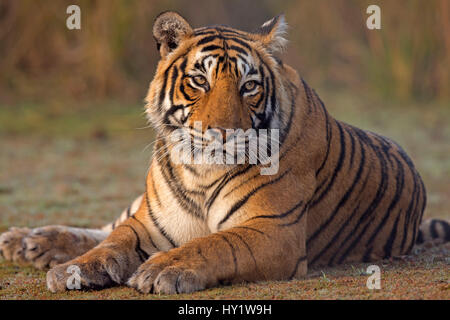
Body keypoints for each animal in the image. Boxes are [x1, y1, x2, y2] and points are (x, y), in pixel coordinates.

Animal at [0, 11, 446, 294]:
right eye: (200, 80)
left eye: (249, 87)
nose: (223, 134)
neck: (200, 172)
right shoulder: (150, 222)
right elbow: (113, 241)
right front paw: (74, 270)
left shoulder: (272, 230)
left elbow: (214, 244)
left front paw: (163, 268)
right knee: (108, 225)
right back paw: (26, 241)